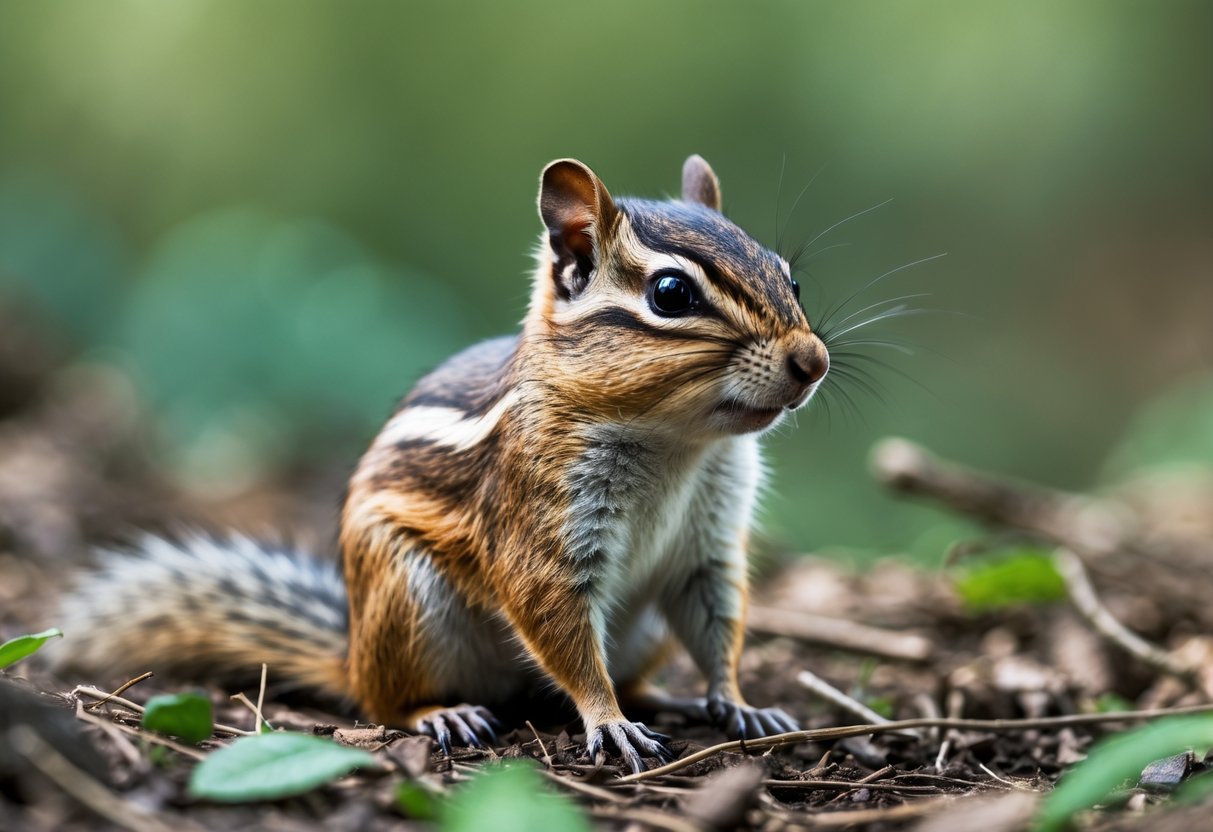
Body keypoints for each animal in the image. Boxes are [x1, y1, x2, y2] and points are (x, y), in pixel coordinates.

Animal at [56, 155, 830, 773]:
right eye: (671, 294)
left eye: (790, 277)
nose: (813, 361)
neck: (677, 443)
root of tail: (352, 654)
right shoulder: (541, 528)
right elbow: (560, 631)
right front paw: (608, 721)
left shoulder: (708, 544)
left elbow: (717, 621)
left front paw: (738, 701)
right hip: (407, 601)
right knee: (384, 704)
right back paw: (441, 713)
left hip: (640, 632)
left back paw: (671, 698)